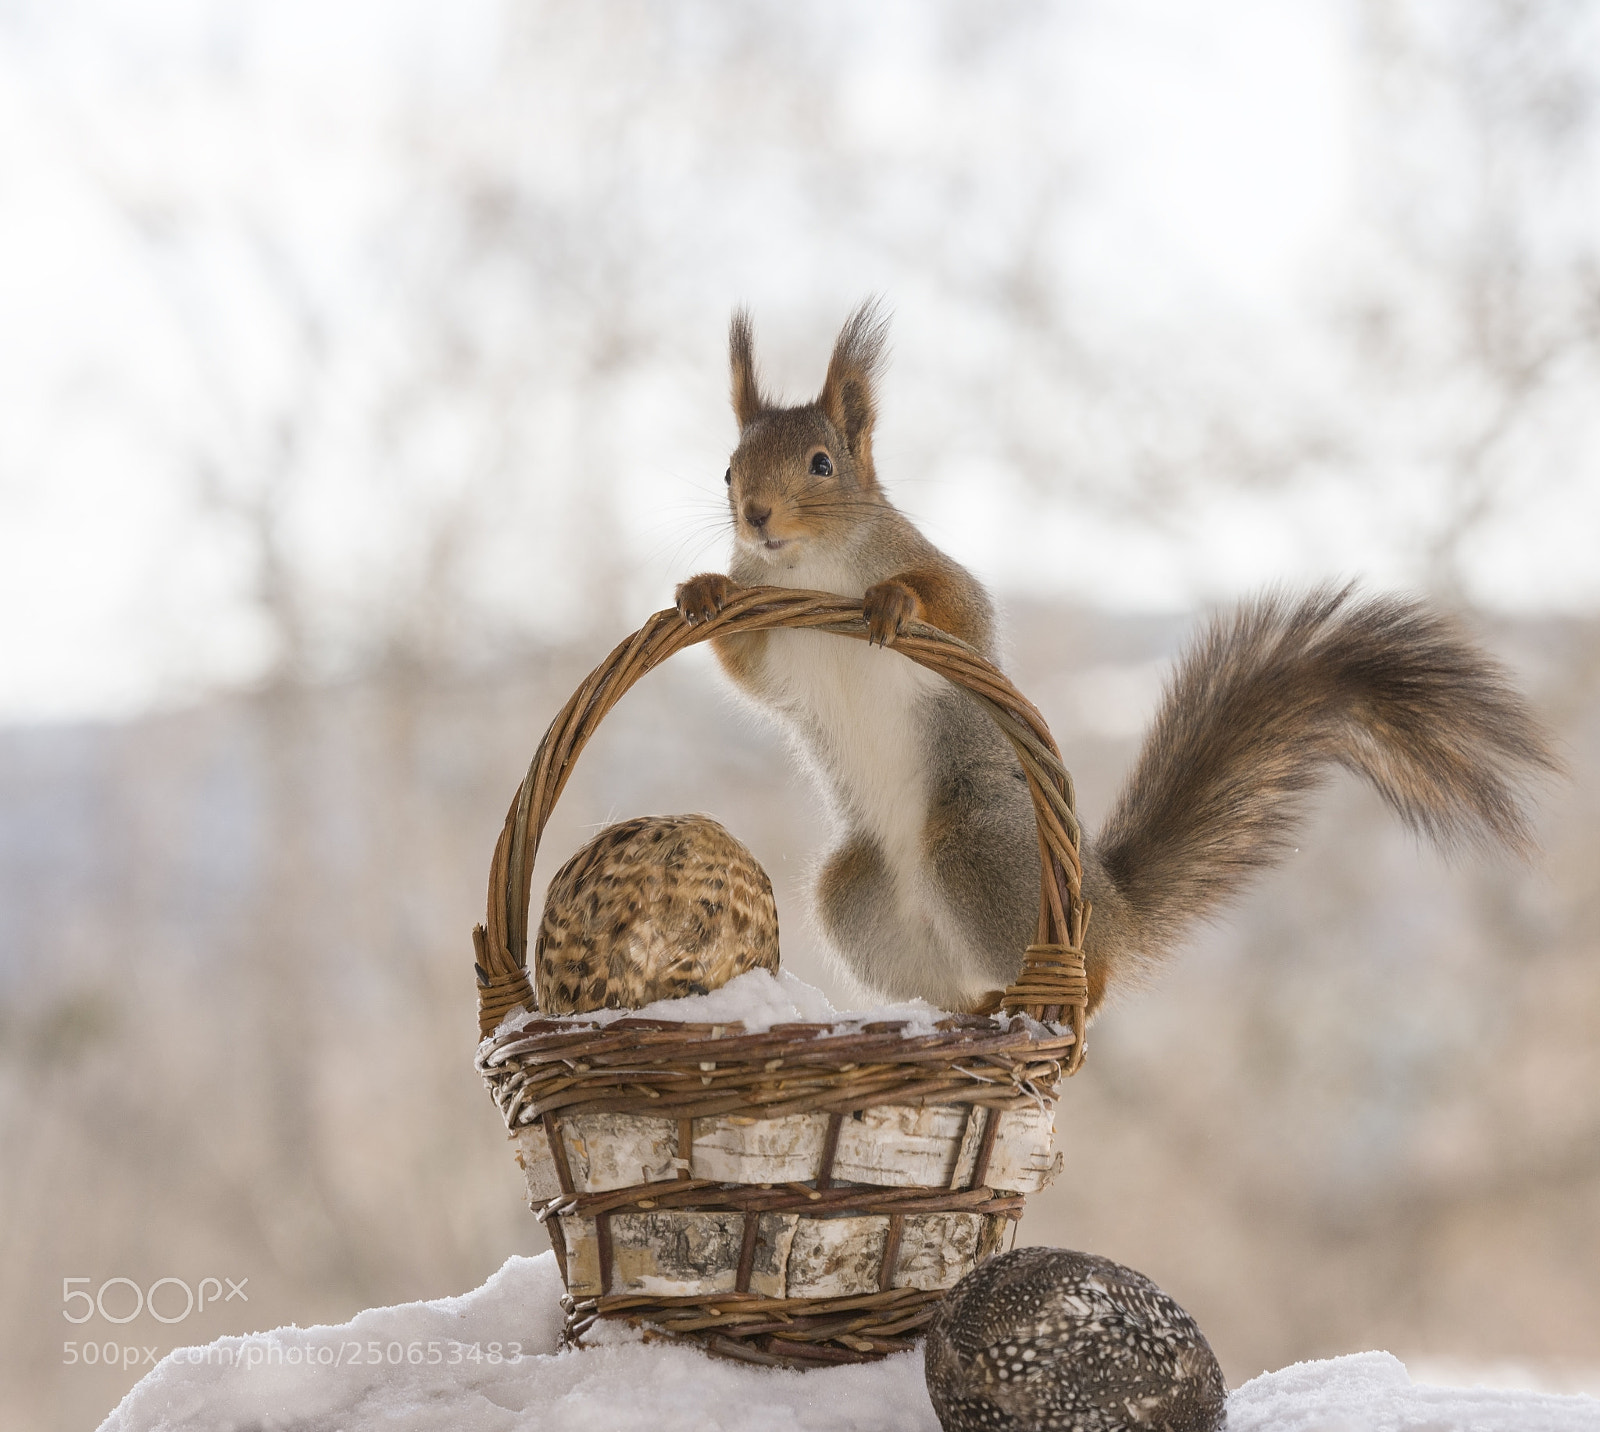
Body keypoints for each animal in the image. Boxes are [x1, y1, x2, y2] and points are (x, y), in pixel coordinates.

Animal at [675, 302, 1558, 1018]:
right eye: (727, 469)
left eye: (823, 465)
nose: (755, 516)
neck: (811, 568)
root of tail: (1109, 910)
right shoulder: (778, 640)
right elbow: (748, 665)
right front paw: (703, 589)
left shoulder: (930, 569)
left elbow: (955, 605)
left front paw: (894, 603)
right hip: (858, 897)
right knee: (951, 985)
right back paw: (975, 1009)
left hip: (979, 845)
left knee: (1086, 980)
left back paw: (1062, 990)